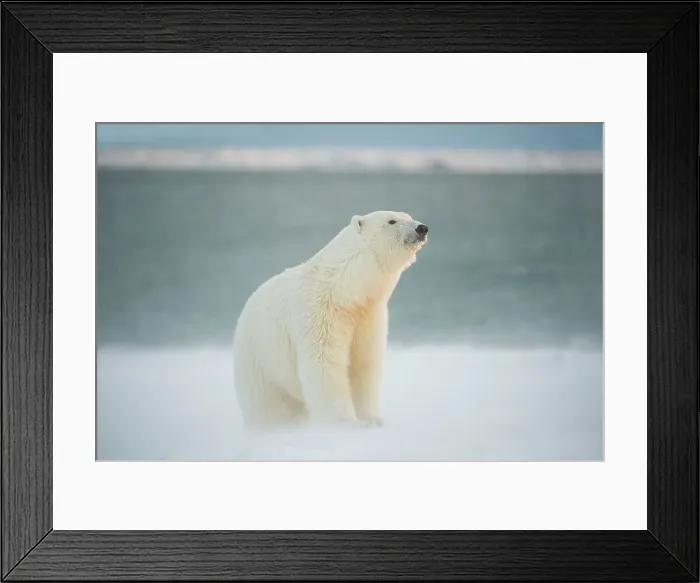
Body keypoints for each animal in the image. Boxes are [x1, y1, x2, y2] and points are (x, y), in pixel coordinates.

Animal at [232, 210, 428, 430]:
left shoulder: (369, 317)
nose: (422, 228)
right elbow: (325, 364)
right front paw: (344, 423)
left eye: (409, 216)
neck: (343, 290)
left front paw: (372, 419)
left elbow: (365, 363)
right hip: (259, 360)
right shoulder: (319, 314)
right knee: (266, 404)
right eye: (392, 220)